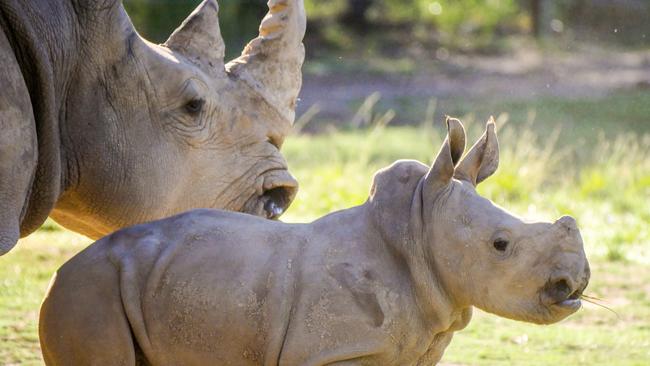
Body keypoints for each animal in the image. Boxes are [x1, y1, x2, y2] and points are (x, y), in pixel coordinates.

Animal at [39, 118, 588, 364]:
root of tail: (59, 275)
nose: (576, 282)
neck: (417, 233)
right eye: (501, 245)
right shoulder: (330, 350)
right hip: (90, 290)